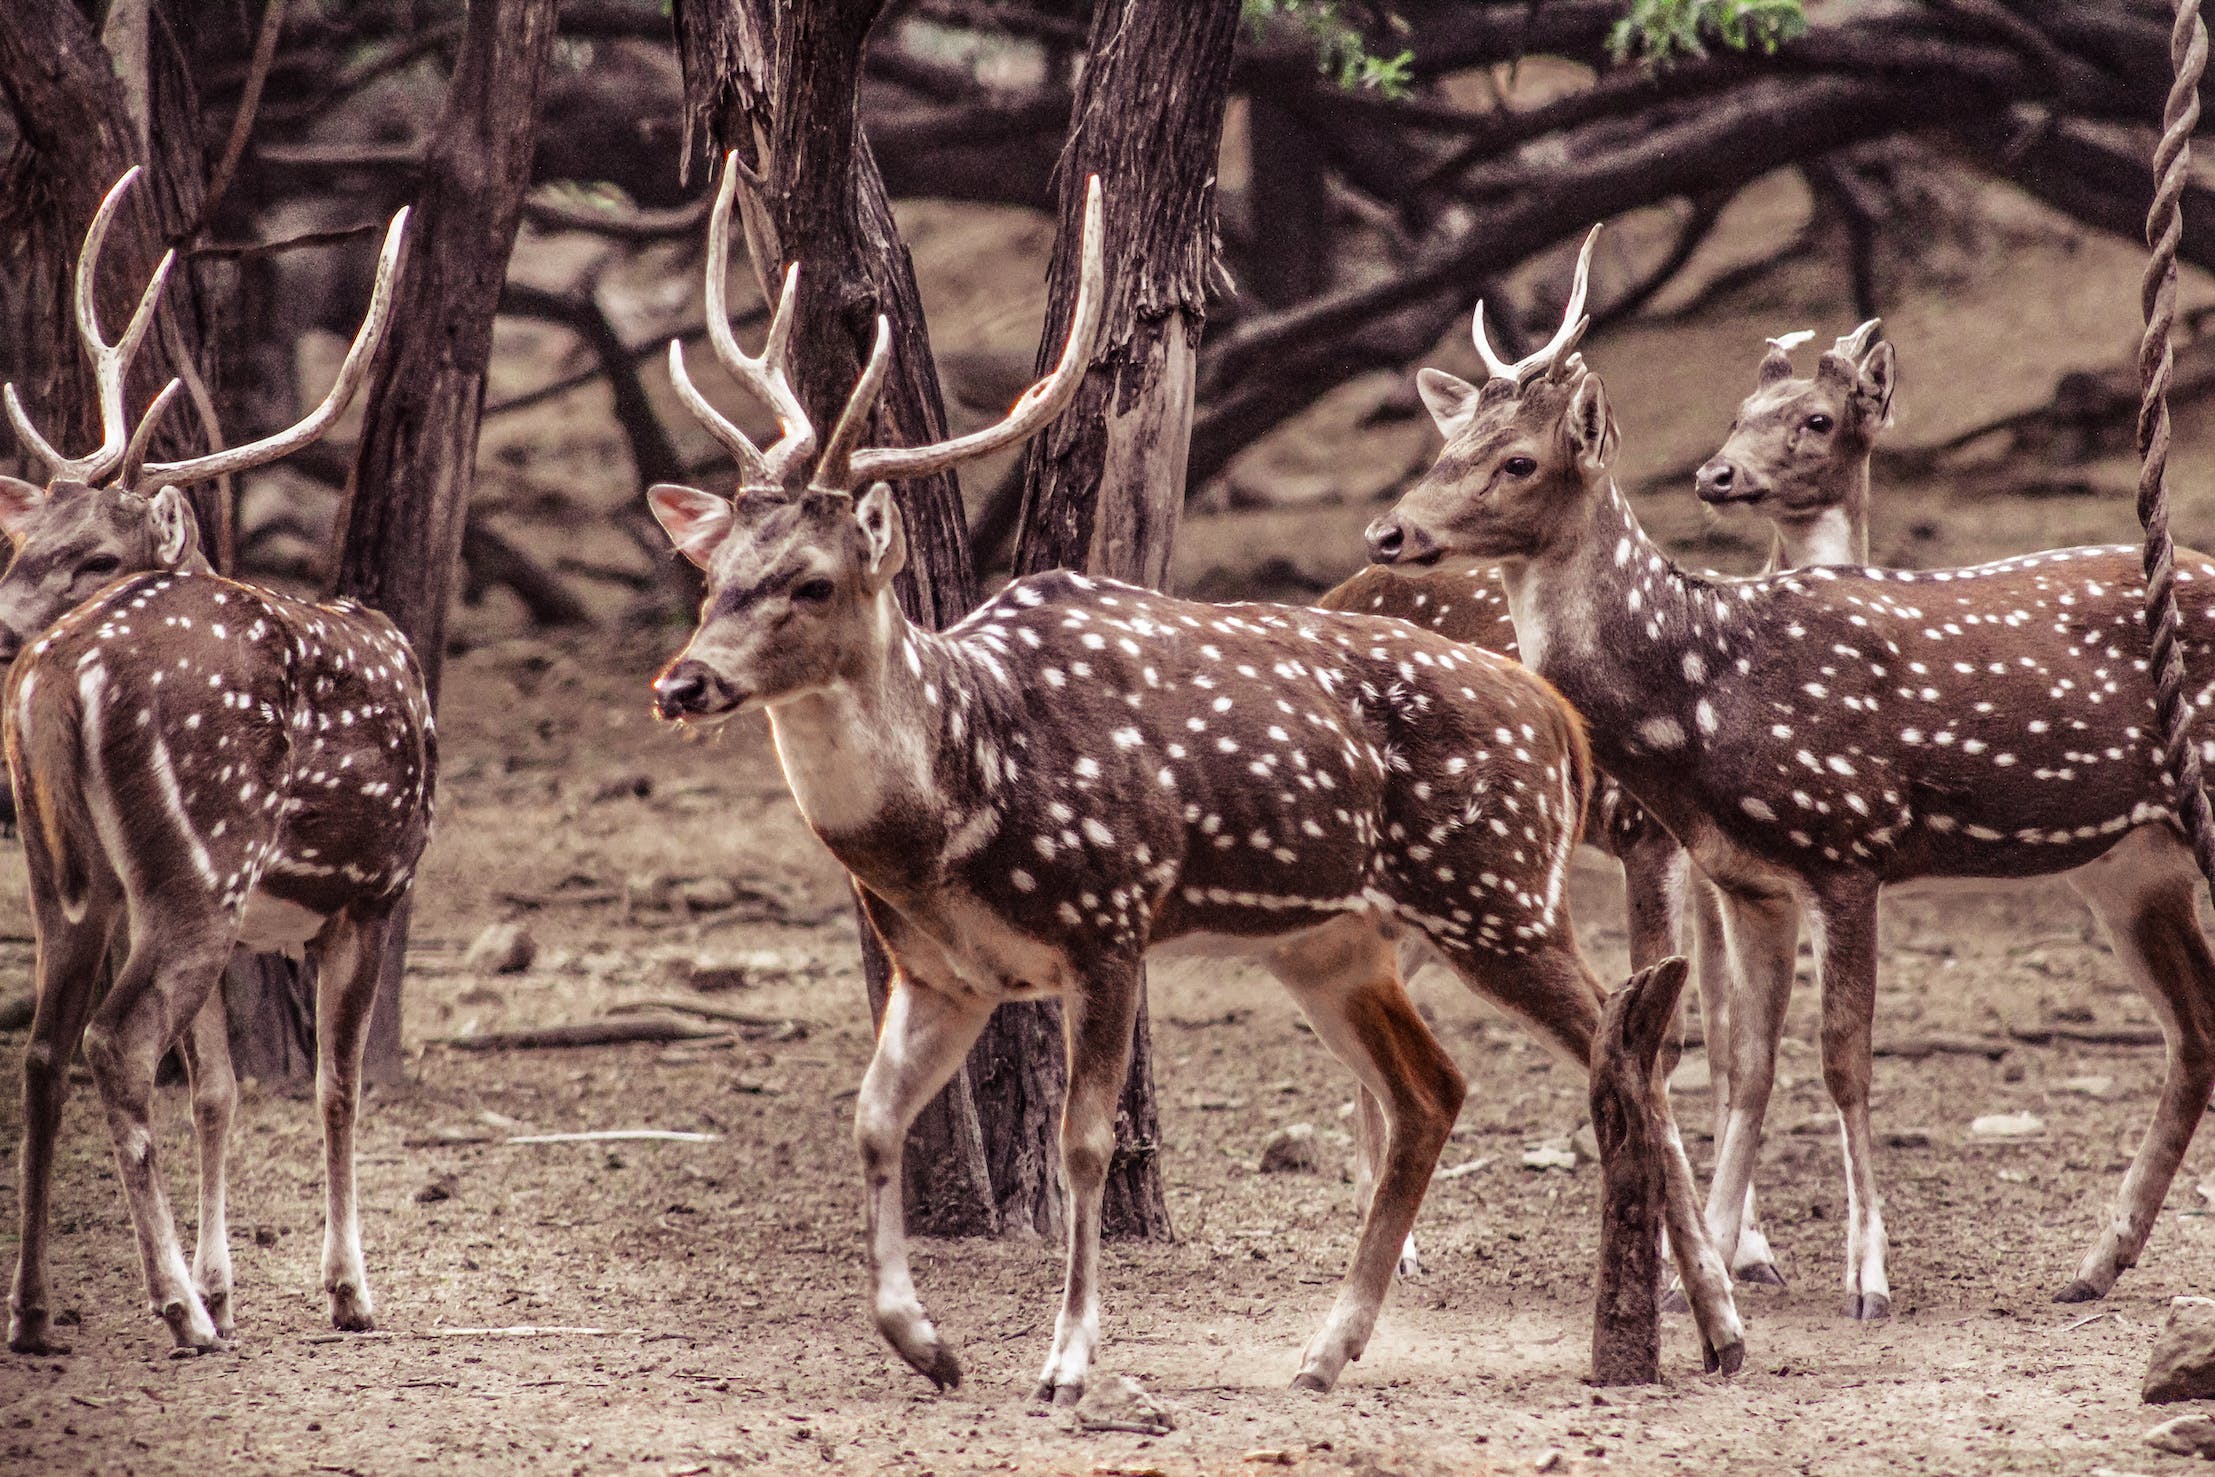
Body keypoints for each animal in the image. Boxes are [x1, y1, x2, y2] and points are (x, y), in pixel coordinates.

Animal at [3, 167, 431, 1355]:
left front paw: (231, 1280)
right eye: (20, 544)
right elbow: (334, 1087)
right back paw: (175, 1311)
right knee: (112, 1040)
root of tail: (62, 677)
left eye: (89, 552)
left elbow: (222, 1091)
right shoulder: (375, 889)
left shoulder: (264, 919)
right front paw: (344, 1290)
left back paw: (37, 1310)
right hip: (197, 861)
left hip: (78, 878)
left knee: (46, 1049)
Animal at [642, 156, 1745, 1408]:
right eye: (714, 574)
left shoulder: (1109, 918)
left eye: (812, 582)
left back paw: (1718, 1326)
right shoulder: (945, 970)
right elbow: (873, 1122)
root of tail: (1554, 718)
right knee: (1436, 1087)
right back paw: (1327, 1349)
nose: (682, 681)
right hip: (1333, 939)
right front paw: (928, 1344)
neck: (954, 810)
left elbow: (1082, 1140)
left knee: (1626, 1051)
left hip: (1495, 892)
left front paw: (1066, 1360)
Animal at [1364, 228, 2215, 1319]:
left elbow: (1841, 1060)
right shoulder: (1745, 876)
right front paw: (1709, 1267)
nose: (1389, 530)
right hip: (2126, 865)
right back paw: (2094, 1261)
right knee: (2193, 1029)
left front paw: (1865, 1275)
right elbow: (1749, 1060)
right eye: (1448, 446)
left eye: (1518, 458)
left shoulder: (1847, 840)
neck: (1701, 696)